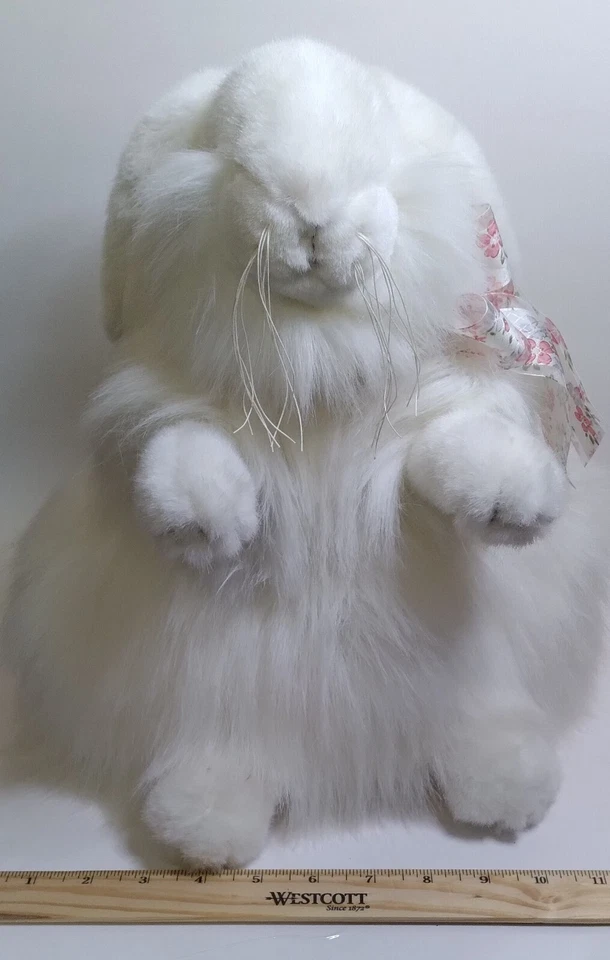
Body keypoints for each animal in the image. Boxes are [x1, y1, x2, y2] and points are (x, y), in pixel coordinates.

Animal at [3, 38, 607, 868]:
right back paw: (207, 823)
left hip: (483, 668)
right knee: (220, 743)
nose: (312, 218)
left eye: (374, 154)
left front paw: (511, 501)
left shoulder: (439, 412)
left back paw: (503, 783)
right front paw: (210, 521)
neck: (316, 348)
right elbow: (174, 447)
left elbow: (458, 447)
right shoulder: (144, 411)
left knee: (483, 712)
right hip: (215, 692)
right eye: (236, 156)